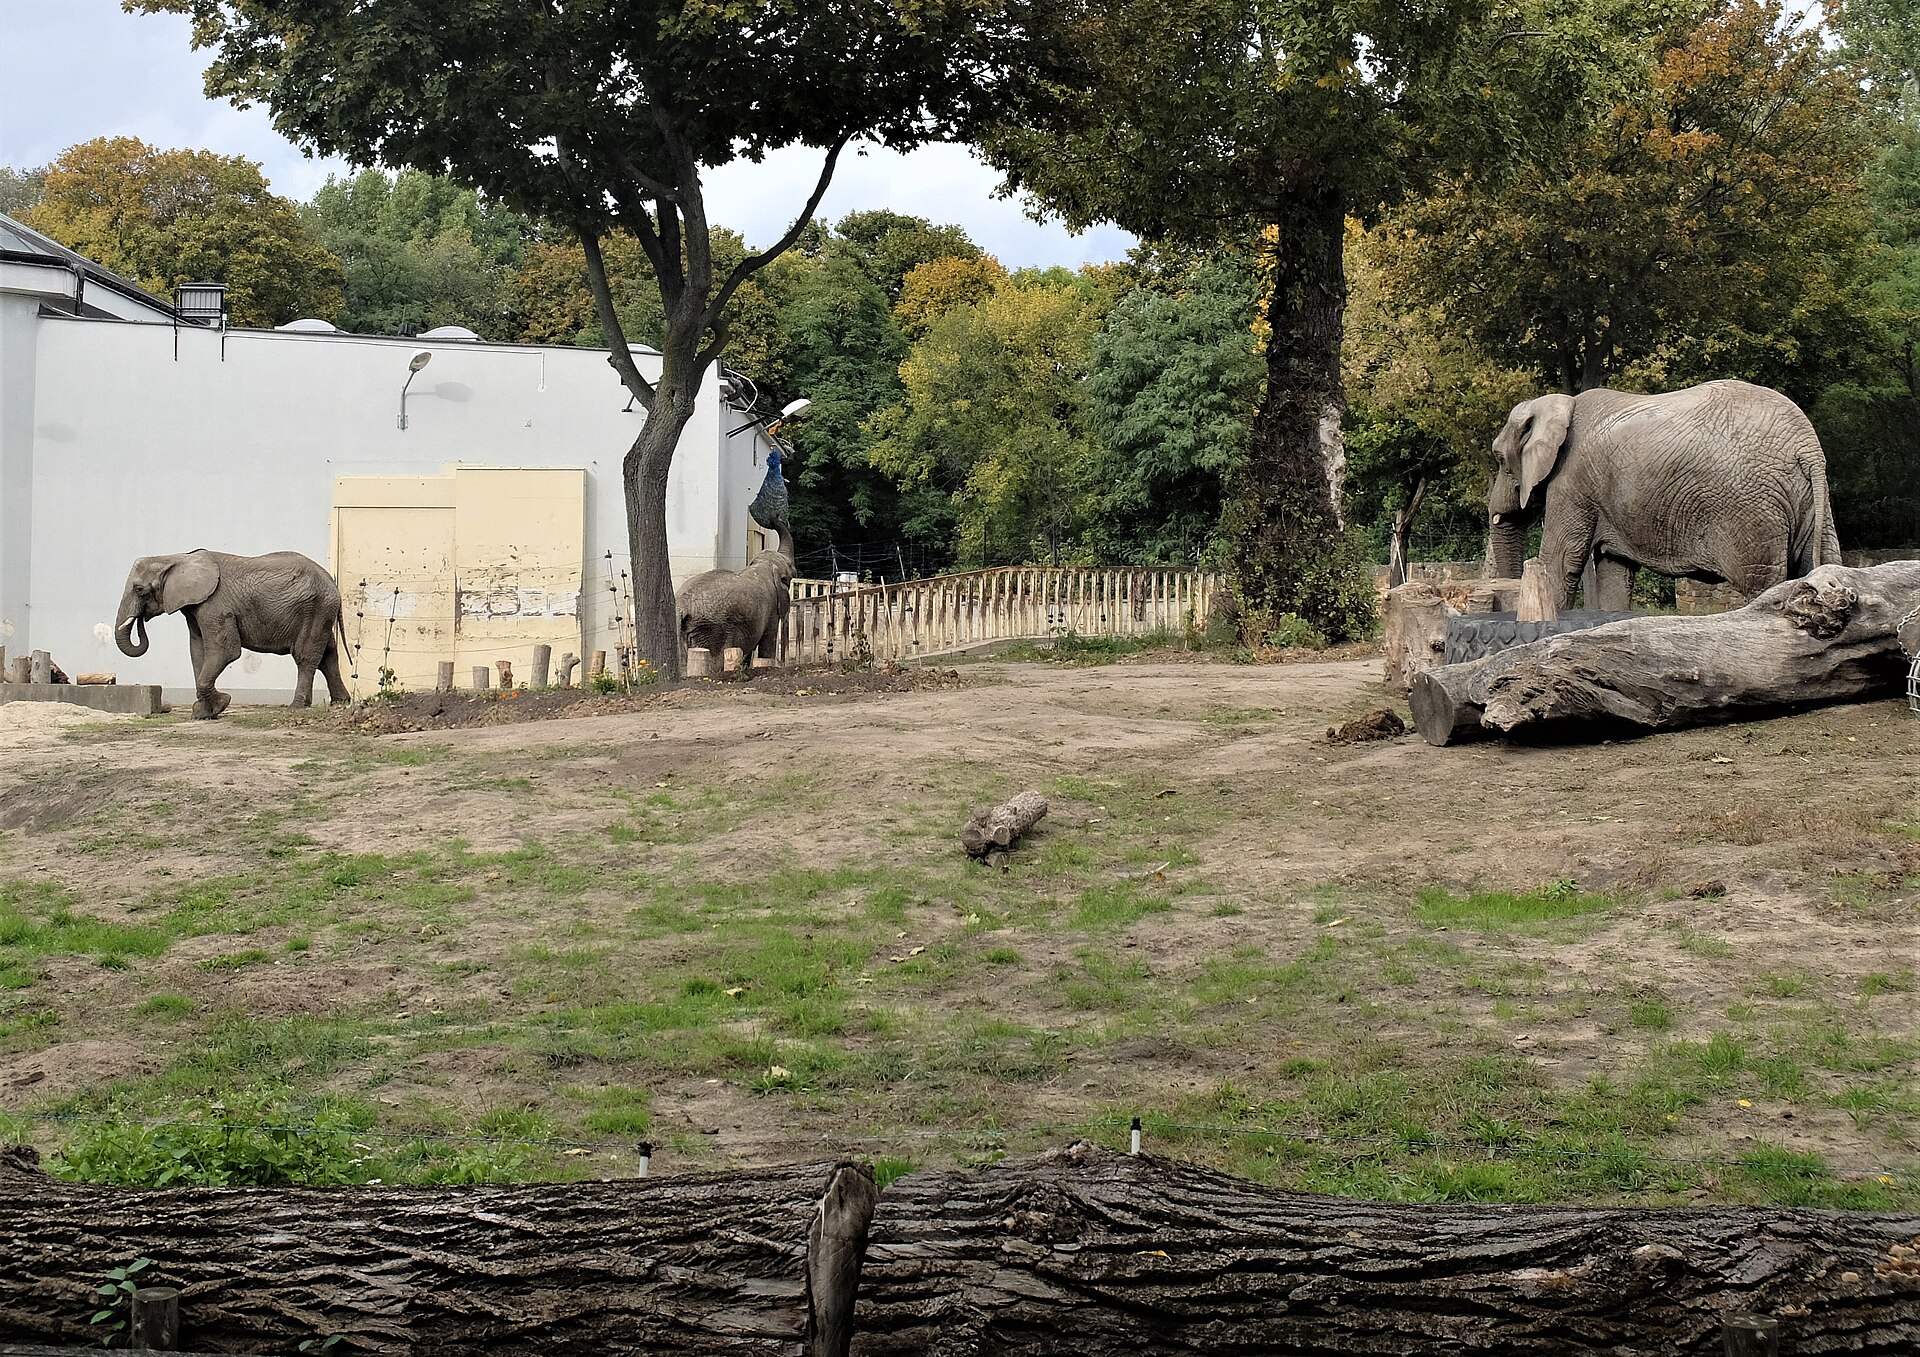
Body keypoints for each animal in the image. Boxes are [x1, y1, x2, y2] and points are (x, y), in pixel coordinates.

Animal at [115, 550, 350, 718]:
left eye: (138, 589)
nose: (141, 619)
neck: (176, 558)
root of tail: (333, 583)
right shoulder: (195, 609)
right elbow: (198, 651)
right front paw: (203, 714)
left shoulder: (215, 607)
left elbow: (225, 652)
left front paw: (221, 704)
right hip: (322, 611)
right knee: (328, 655)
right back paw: (341, 702)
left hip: (315, 609)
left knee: (305, 655)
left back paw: (297, 707)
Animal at [1487, 379, 1841, 611]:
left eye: (1500, 459)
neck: (1562, 403)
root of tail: (1806, 447)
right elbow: (1616, 570)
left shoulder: (1572, 482)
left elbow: (1561, 563)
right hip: (1811, 502)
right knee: (1824, 564)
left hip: (1753, 512)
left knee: (1764, 585)